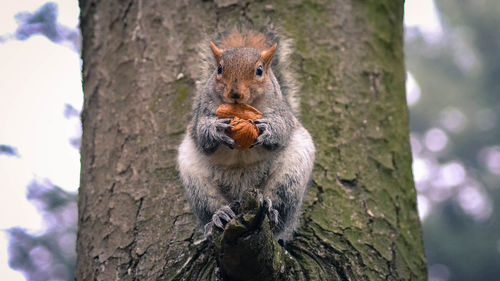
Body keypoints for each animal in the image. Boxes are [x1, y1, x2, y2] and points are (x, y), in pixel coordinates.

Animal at [178, 29, 314, 241]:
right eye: (219, 69)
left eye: (259, 71)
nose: (235, 93)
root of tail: (242, 192)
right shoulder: (201, 113)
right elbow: (201, 134)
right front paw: (216, 130)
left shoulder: (282, 111)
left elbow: (282, 128)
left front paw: (268, 129)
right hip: (197, 184)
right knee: (210, 207)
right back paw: (219, 215)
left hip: (290, 176)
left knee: (280, 205)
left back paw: (271, 211)